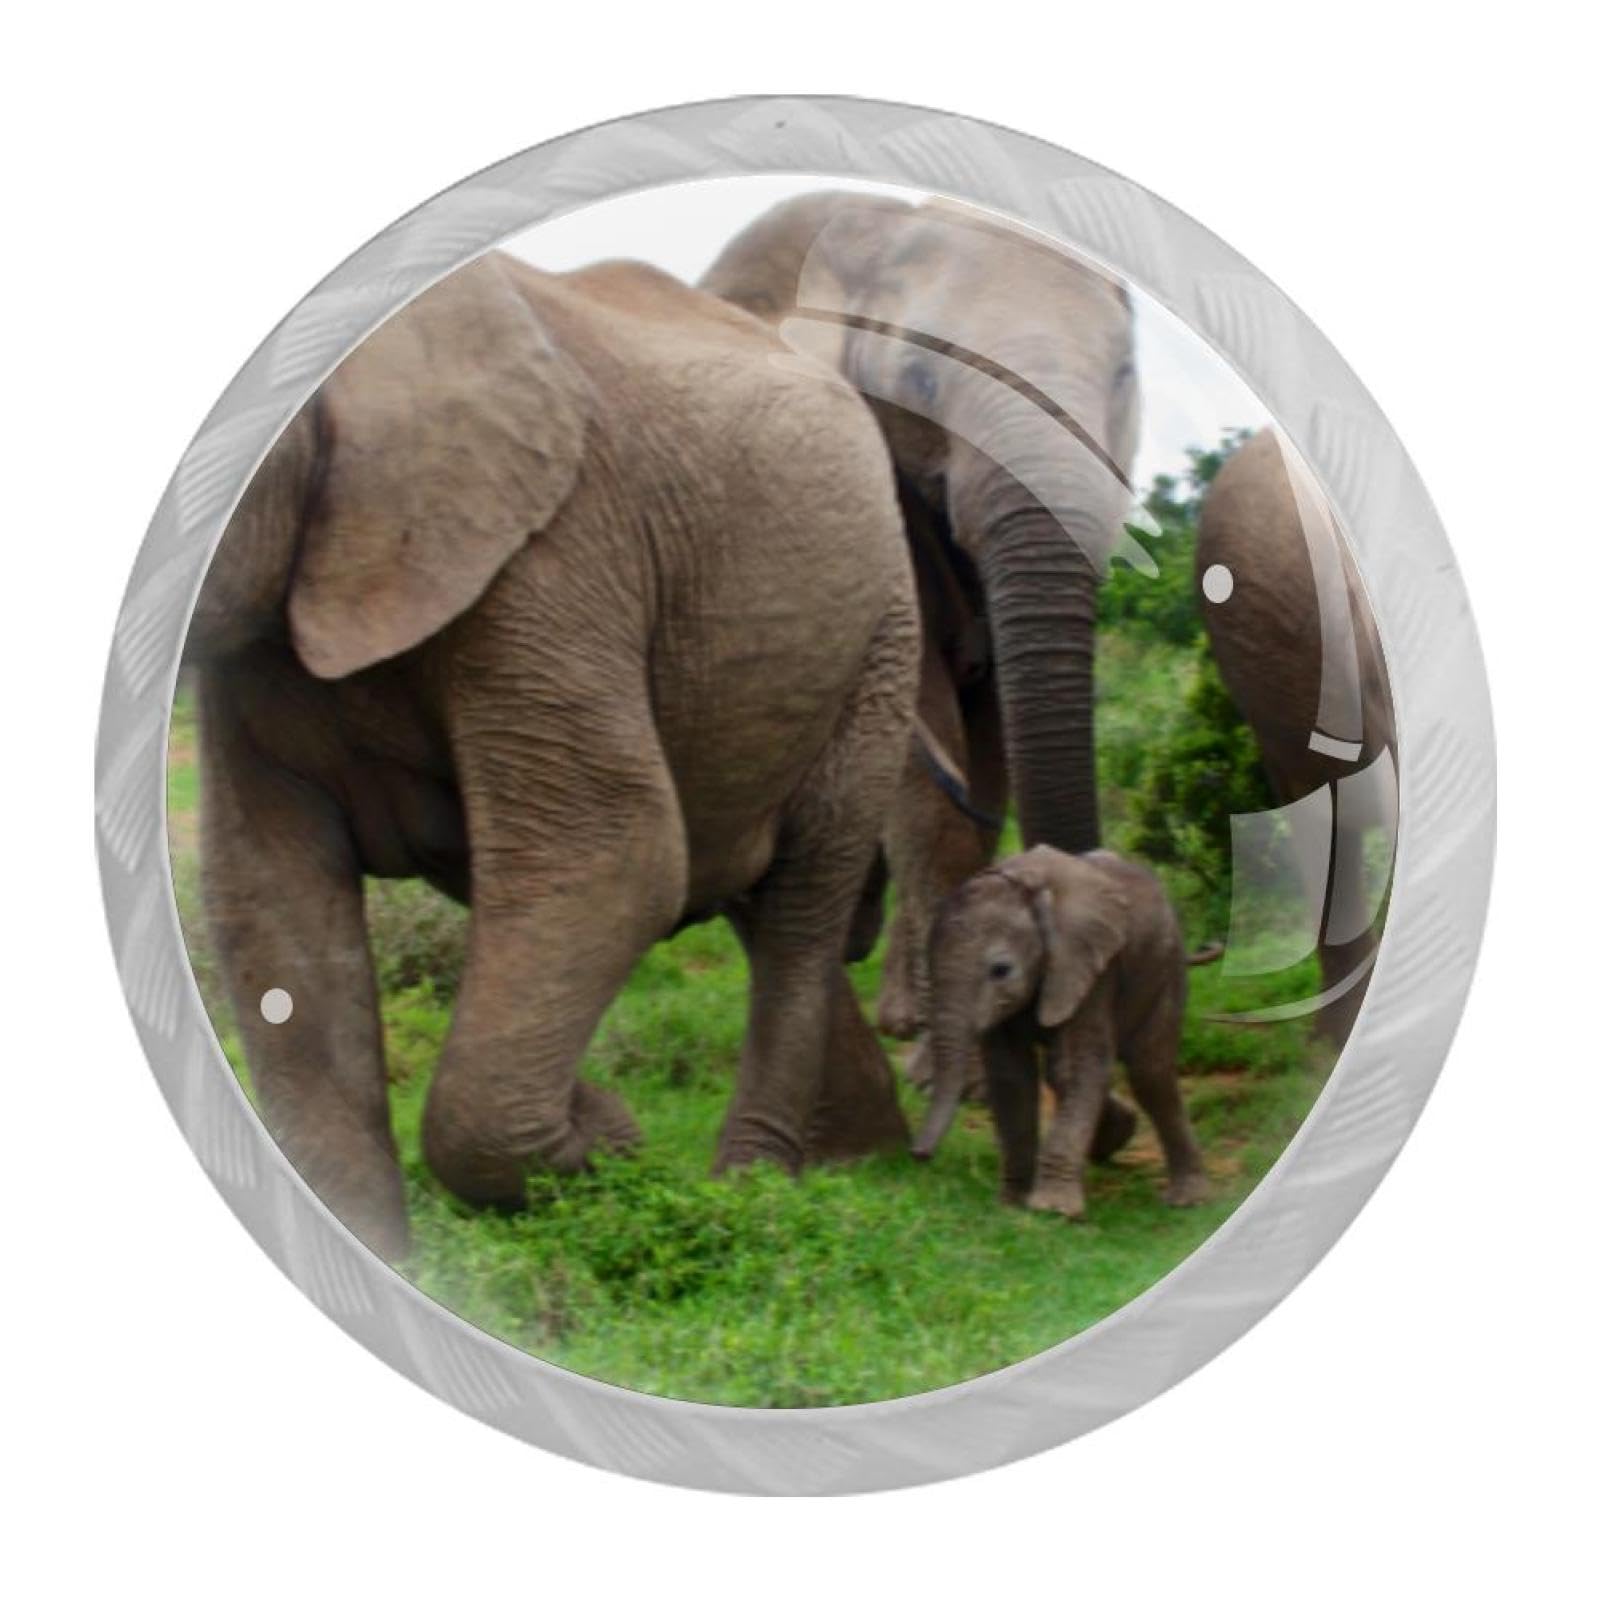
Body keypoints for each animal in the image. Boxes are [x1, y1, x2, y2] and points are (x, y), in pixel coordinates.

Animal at [182, 249, 919, 1261]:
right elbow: (271, 902)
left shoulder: (556, 553)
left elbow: (614, 852)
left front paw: (609, 1132)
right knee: (752, 888)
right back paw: (860, 1158)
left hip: (882, 626)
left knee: (803, 899)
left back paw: (755, 1194)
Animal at [910, 846, 1208, 1220]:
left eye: (1001, 970)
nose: (918, 1155)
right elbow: (1012, 1077)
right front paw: (1013, 1203)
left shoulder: (1092, 968)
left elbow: (1075, 1068)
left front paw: (1053, 1210)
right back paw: (1116, 1138)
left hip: (1164, 967)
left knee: (1149, 1073)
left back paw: (1188, 1199)